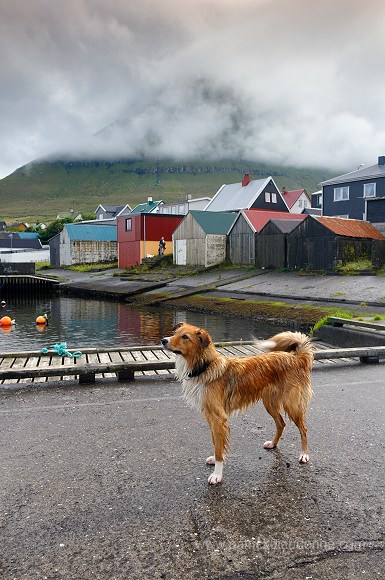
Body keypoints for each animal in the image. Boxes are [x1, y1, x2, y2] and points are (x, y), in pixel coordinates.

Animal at [160, 322, 314, 484]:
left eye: (185, 337)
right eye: (175, 333)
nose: (163, 340)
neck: (205, 366)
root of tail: (297, 358)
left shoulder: (218, 418)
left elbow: (219, 448)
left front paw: (217, 474)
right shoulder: (211, 417)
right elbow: (216, 443)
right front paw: (215, 461)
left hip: (292, 405)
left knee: (303, 429)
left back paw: (304, 454)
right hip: (269, 403)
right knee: (281, 423)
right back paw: (273, 444)